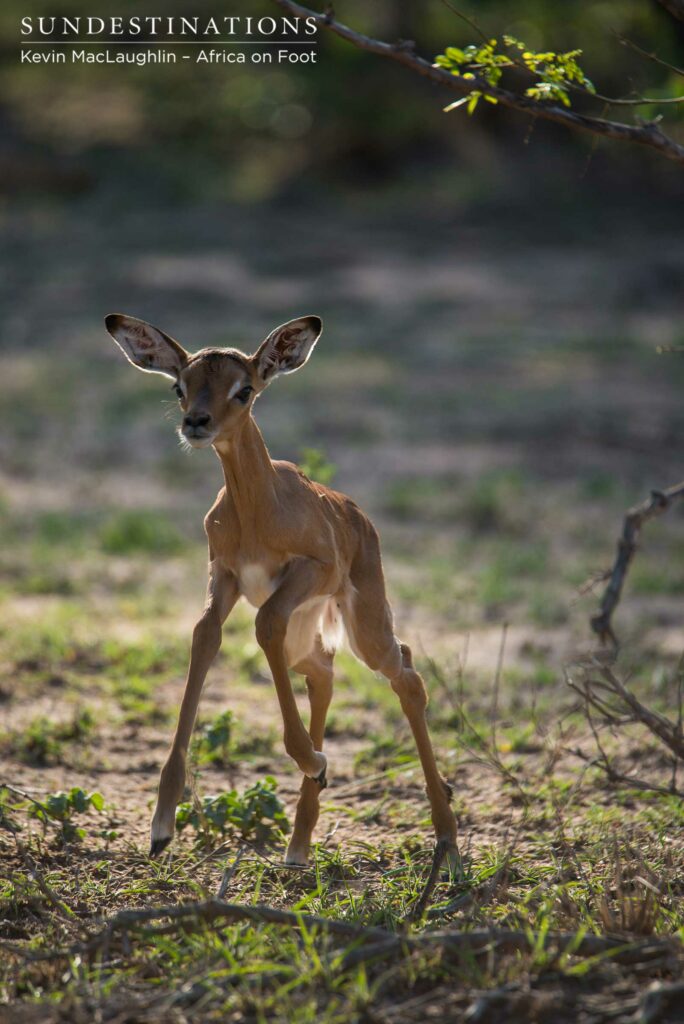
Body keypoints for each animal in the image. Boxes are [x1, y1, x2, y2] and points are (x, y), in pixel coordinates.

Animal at [104, 313, 459, 869]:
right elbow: (204, 637)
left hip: (364, 627)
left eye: (245, 389)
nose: (196, 423)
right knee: (324, 672)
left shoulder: (307, 572)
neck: (258, 511)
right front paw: (161, 826)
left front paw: (314, 759)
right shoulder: (225, 577)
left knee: (406, 673)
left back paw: (446, 837)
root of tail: (359, 518)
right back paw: (298, 844)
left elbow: (262, 623)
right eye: (180, 385)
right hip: (307, 635)